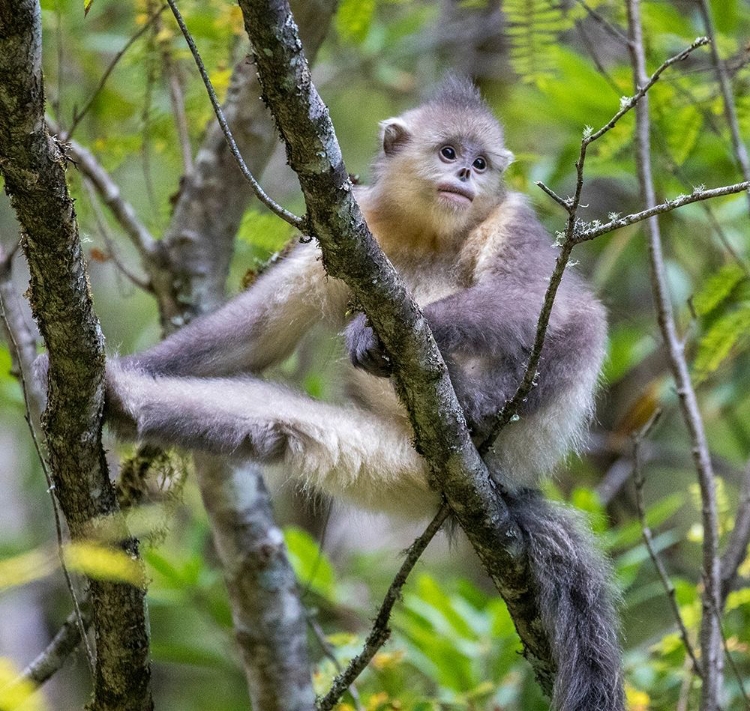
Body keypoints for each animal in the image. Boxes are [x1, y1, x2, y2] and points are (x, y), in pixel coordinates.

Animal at [54, 76, 624, 711]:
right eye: (449, 152)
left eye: (481, 163)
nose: (466, 175)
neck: (428, 234)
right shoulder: (350, 230)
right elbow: (261, 332)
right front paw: (120, 371)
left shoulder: (512, 217)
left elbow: (547, 307)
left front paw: (373, 334)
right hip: (386, 458)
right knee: (274, 424)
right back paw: (129, 401)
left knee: (575, 325)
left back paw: (474, 410)